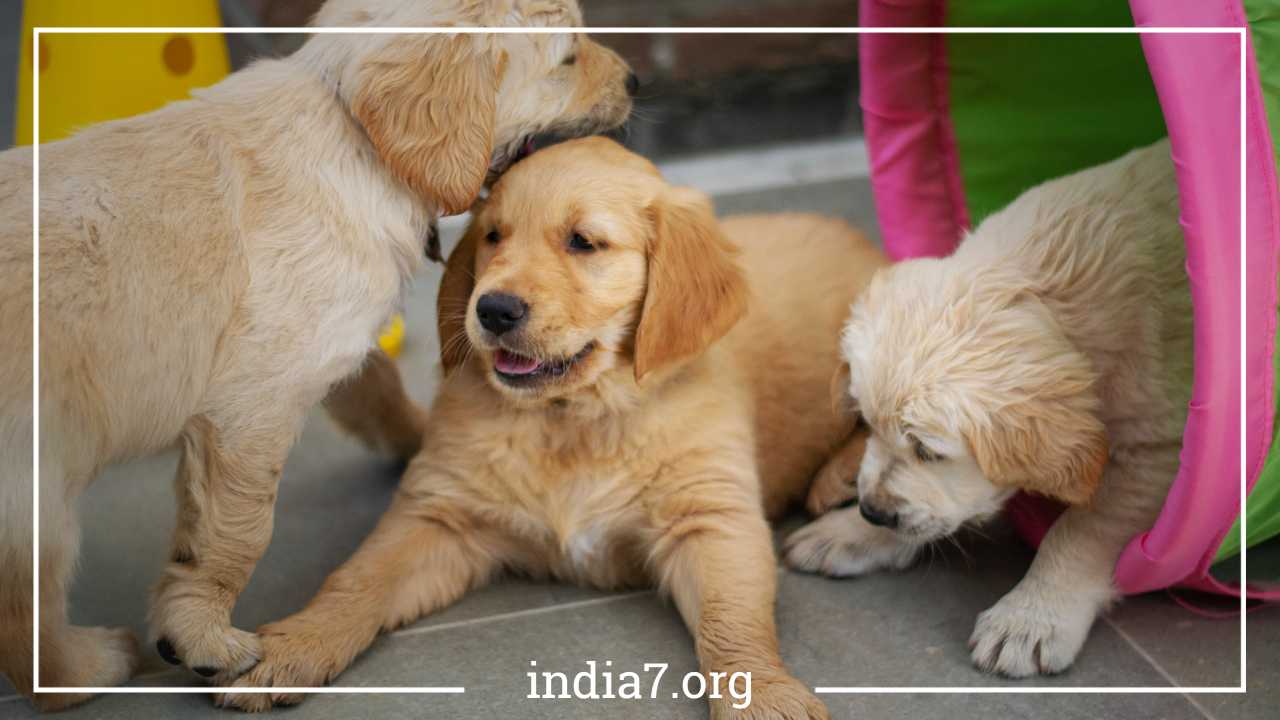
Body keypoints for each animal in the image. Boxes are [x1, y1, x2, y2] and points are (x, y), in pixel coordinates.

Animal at [0, 0, 634, 707]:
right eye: (569, 56)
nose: (636, 80)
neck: (351, 138)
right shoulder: (253, 405)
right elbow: (235, 535)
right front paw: (199, 636)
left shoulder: (329, 335)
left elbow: (375, 384)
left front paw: (418, 434)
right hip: (35, 487)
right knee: (24, 617)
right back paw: (90, 668)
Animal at [215, 134, 885, 712]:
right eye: (493, 236)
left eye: (583, 242)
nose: (492, 308)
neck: (575, 417)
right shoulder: (439, 515)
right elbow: (355, 581)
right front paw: (292, 645)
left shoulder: (712, 516)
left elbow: (732, 624)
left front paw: (765, 695)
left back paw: (839, 480)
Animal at [783, 137, 1192, 676]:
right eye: (867, 423)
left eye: (929, 452)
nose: (872, 512)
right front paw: (851, 532)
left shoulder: (1159, 445)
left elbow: (1085, 525)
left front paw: (1030, 618)